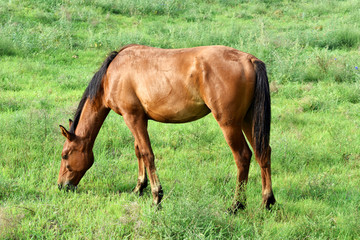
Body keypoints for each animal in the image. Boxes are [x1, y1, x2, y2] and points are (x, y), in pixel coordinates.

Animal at [57, 44, 276, 213]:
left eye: (65, 155)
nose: (61, 186)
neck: (113, 73)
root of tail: (249, 60)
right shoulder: (139, 119)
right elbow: (139, 151)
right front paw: (139, 188)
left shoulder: (132, 117)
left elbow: (147, 154)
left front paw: (156, 197)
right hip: (248, 121)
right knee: (262, 153)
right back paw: (267, 202)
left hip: (229, 124)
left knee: (243, 156)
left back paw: (237, 205)